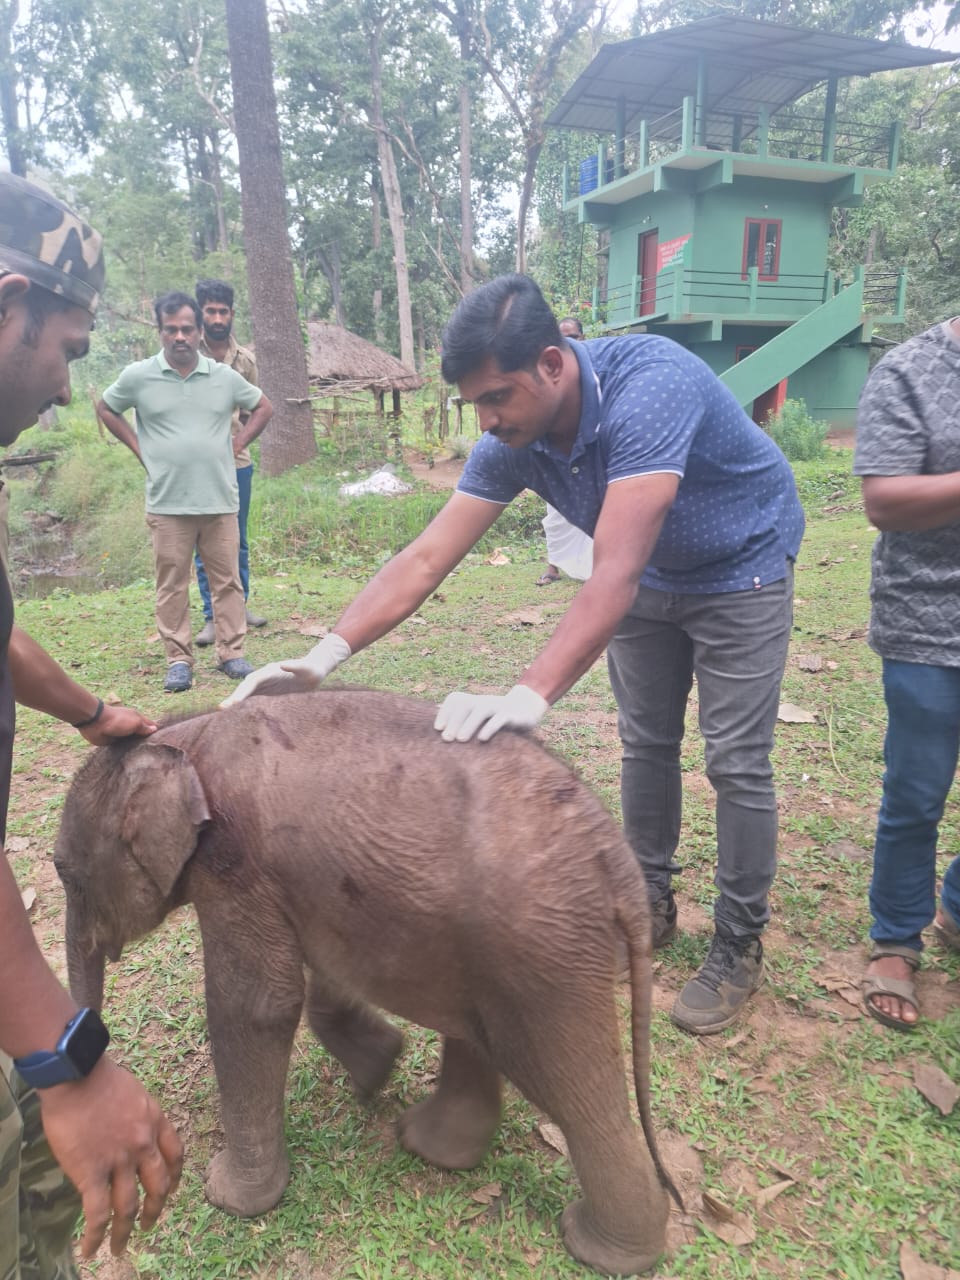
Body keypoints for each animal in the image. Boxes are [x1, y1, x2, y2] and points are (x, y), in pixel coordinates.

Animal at [56, 691, 680, 1269]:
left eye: (65, 873)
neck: (184, 735)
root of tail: (621, 868)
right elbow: (314, 972)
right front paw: (377, 1071)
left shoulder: (234, 863)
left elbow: (256, 1005)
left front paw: (227, 1198)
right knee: (483, 1033)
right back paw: (432, 1148)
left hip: (543, 954)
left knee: (569, 1087)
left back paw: (598, 1250)